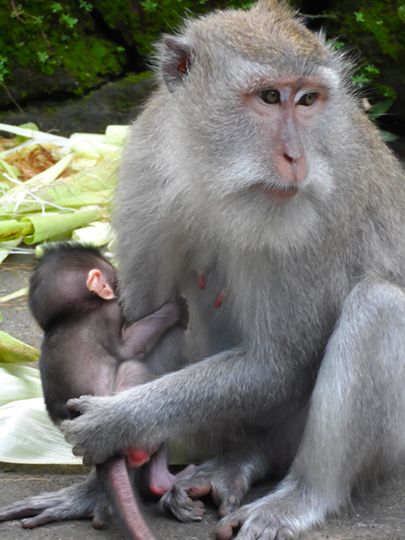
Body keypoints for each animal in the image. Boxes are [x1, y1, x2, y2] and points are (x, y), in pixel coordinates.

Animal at [29, 246, 189, 540]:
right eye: (112, 273)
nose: (119, 280)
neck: (70, 315)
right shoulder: (107, 315)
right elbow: (129, 348)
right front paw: (175, 309)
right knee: (135, 370)